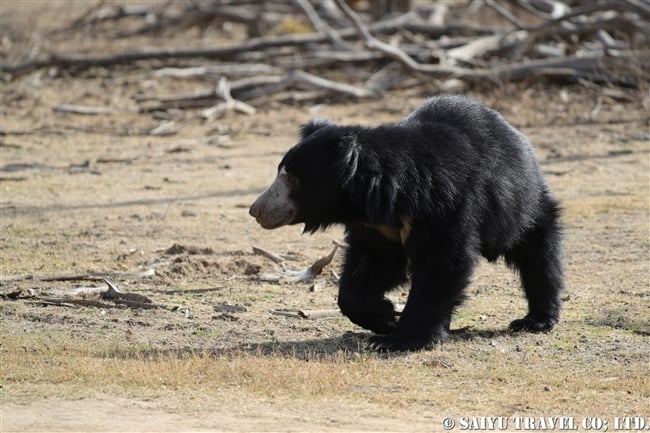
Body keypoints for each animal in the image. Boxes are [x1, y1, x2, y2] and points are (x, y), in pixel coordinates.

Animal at [248, 95, 560, 352]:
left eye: (292, 178)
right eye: (281, 172)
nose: (256, 210)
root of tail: (517, 136)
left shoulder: (447, 205)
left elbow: (441, 265)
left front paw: (397, 340)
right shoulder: (377, 227)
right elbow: (371, 266)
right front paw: (385, 318)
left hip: (523, 206)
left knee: (539, 255)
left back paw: (535, 320)